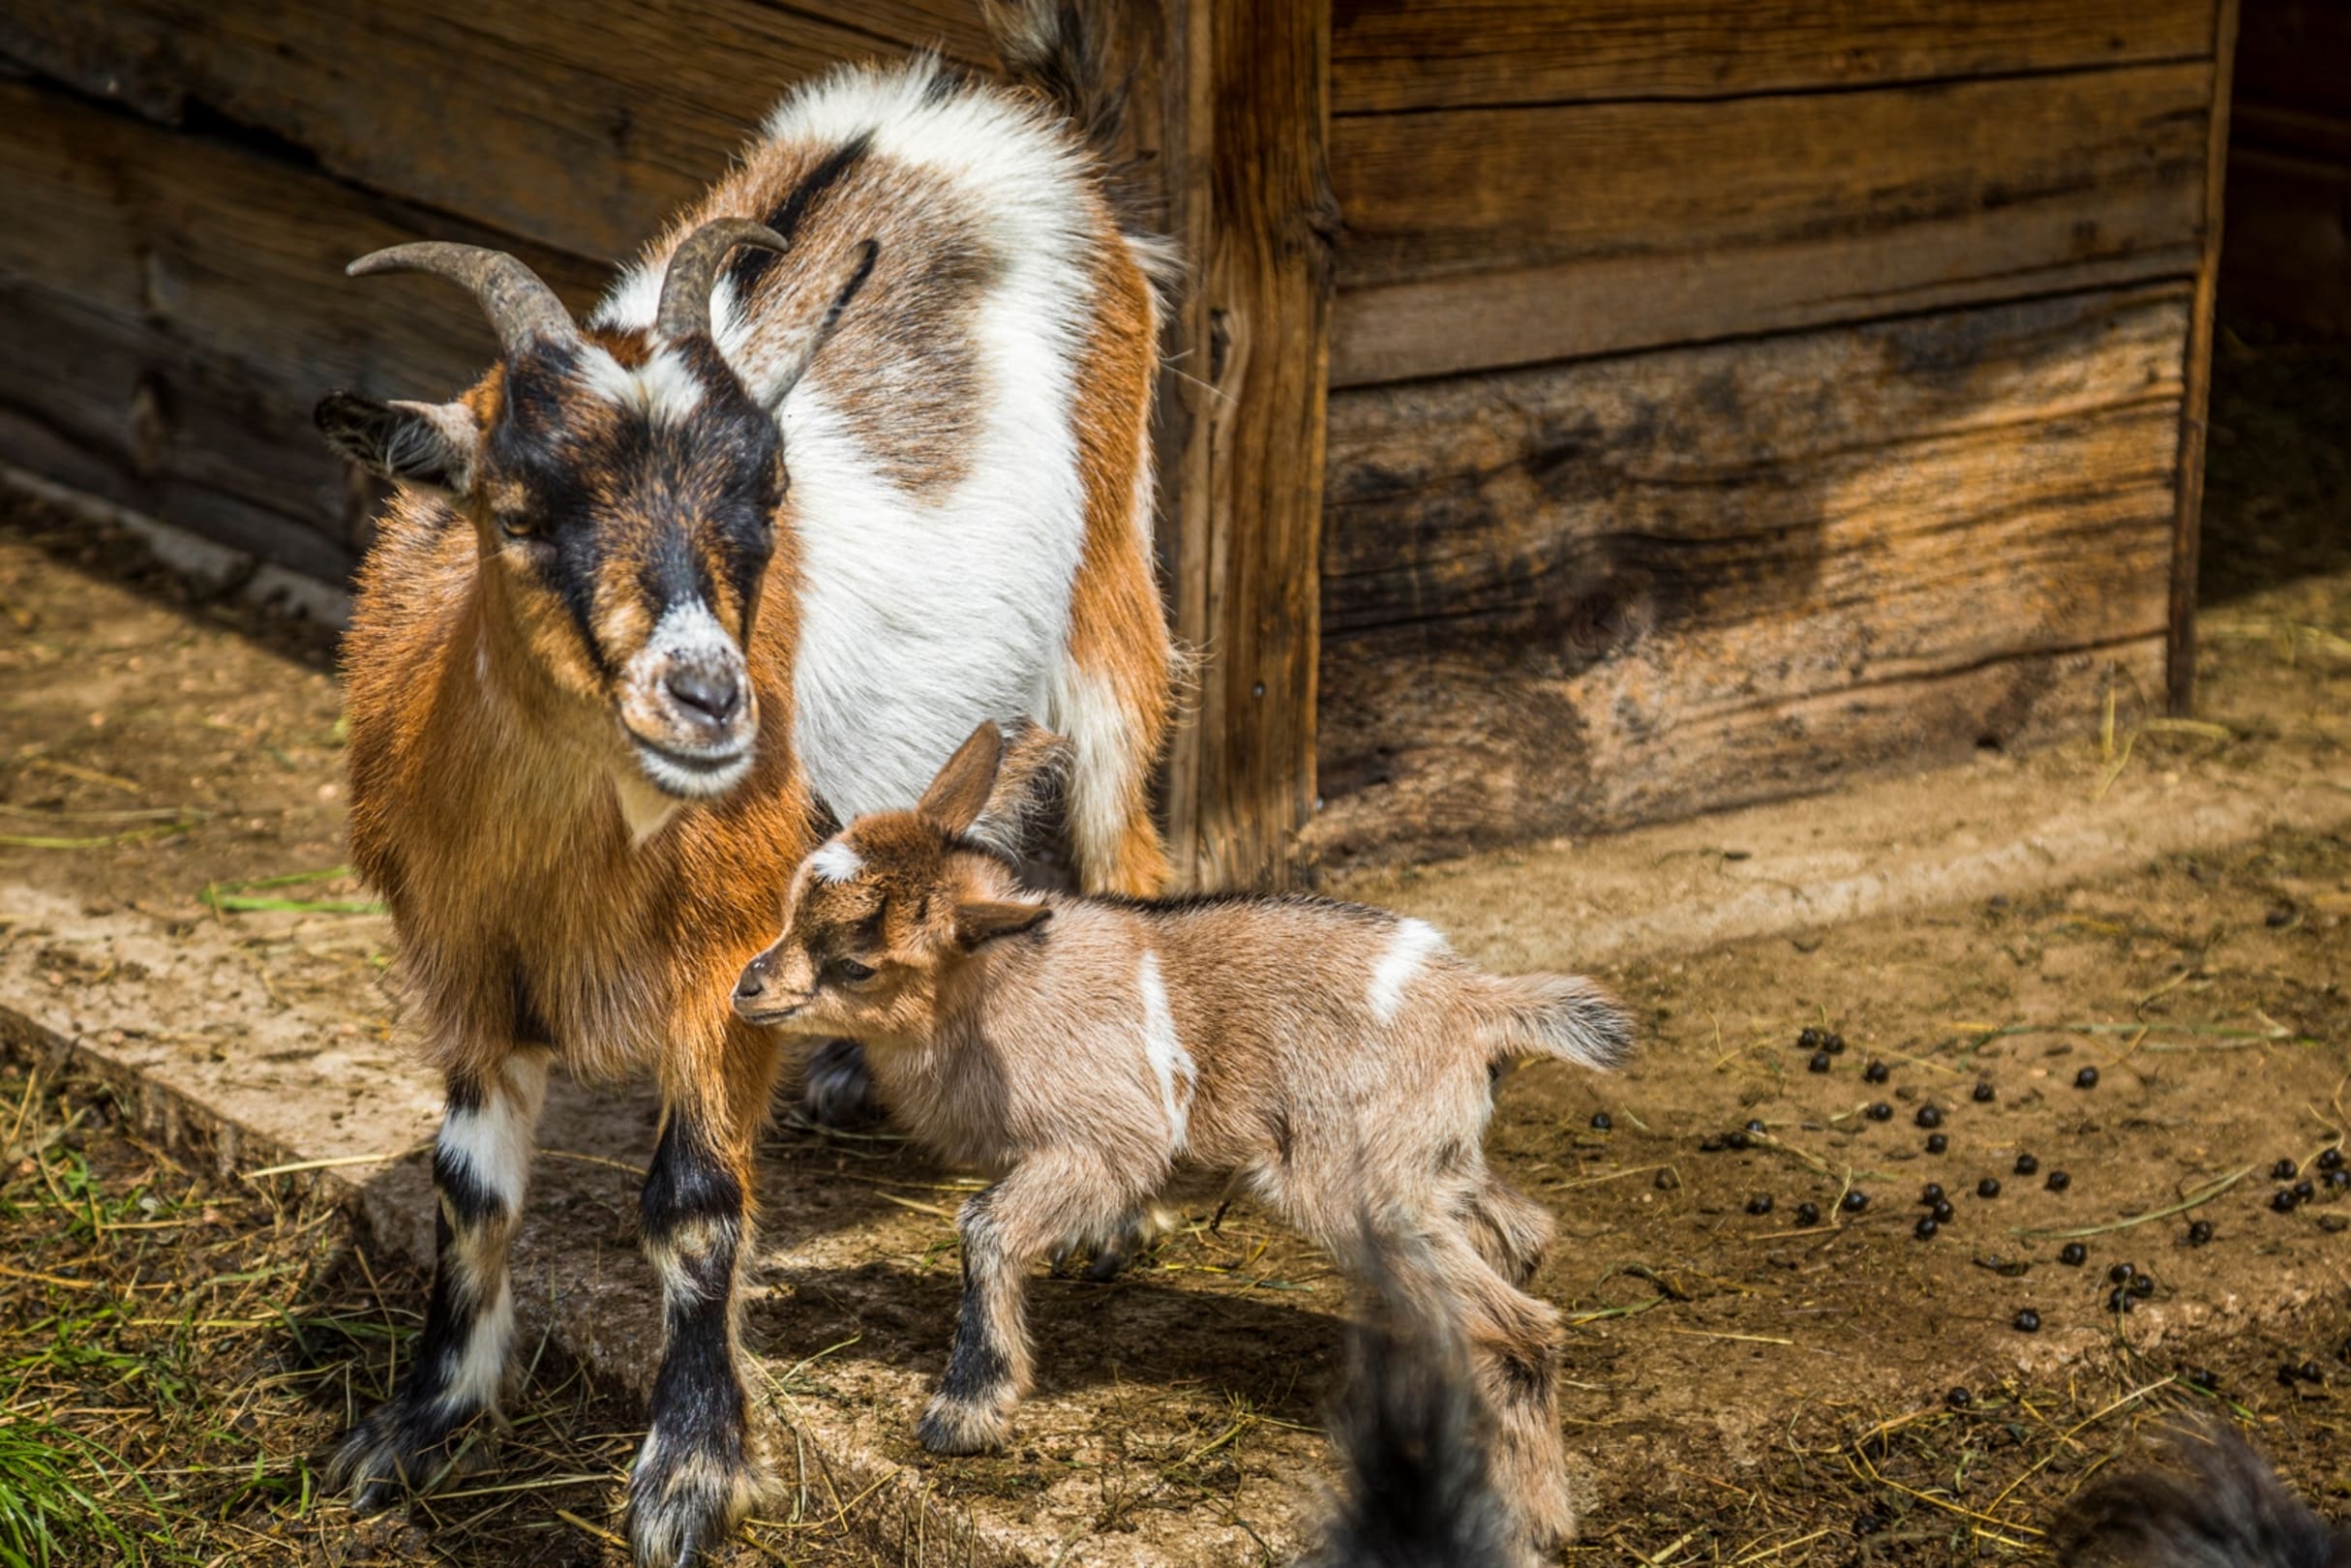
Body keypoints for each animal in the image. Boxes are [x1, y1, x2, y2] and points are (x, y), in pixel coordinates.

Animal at [310, 8, 1176, 1563]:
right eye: (515, 509)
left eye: (766, 496)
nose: (712, 698)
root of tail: (975, 116)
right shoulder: (464, 957)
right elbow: (468, 1190)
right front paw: (418, 1422)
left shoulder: (717, 962)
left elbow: (694, 1206)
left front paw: (689, 1473)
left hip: (1110, 594)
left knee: (1123, 841)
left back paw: (1119, 1210)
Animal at [732, 722, 1633, 1560]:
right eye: (792, 905)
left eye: (857, 965)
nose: (748, 988)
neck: (1003, 991)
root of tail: (1479, 1003)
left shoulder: (1104, 1144)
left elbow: (982, 1228)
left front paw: (965, 1414)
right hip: (1429, 1161)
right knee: (1520, 1234)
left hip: (1362, 1187)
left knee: (1521, 1328)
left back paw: (1529, 1520)